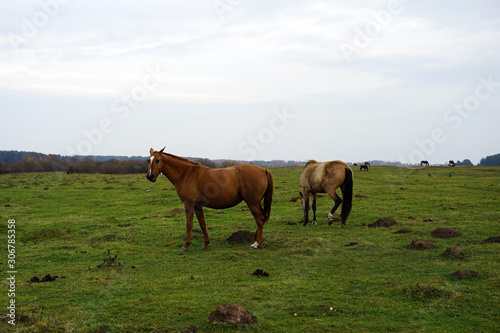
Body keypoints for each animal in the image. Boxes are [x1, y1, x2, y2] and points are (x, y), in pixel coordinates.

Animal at [146, 147, 276, 250]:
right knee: (262, 218)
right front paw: (206, 244)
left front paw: (186, 245)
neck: (186, 174)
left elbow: (189, 224)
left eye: (157, 160)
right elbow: (202, 224)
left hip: (252, 203)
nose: (150, 176)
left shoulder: (189, 204)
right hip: (257, 203)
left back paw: (256, 243)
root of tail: (263, 170)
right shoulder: (197, 206)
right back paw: (255, 239)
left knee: (259, 219)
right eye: (148, 160)